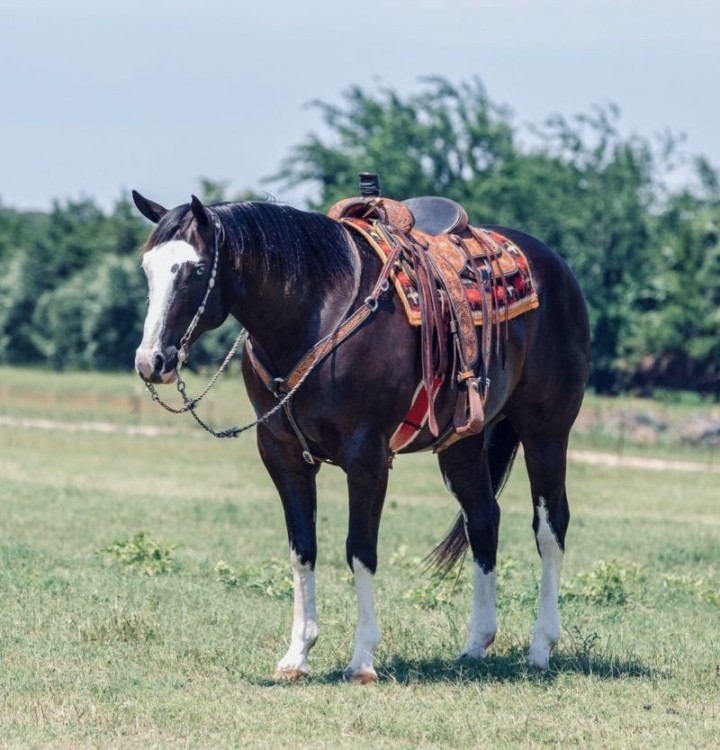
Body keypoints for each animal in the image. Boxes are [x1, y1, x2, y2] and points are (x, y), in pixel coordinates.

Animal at [132, 187, 591, 683]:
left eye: (196, 269)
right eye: (148, 267)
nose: (151, 361)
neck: (315, 314)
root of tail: (555, 267)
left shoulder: (366, 455)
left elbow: (360, 551)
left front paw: (363, 660)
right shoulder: (281, 454)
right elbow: (302, 549)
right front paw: (296, 655)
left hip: (545, 432)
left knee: (550, 527)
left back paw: (541, 647)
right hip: (462, 443)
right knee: (484, 519)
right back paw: (475, 645)